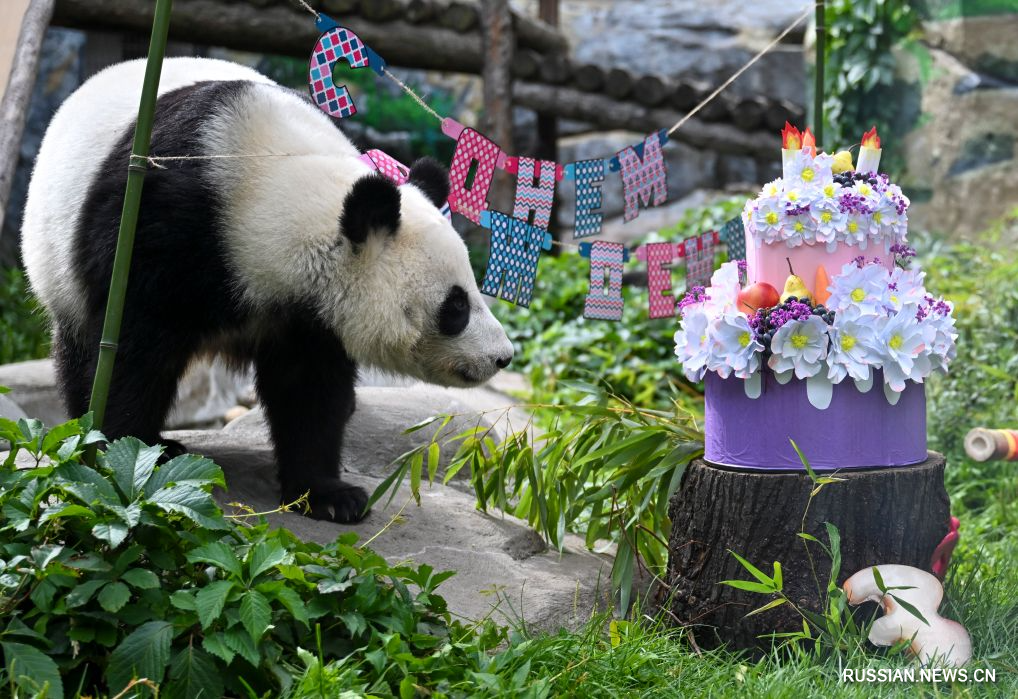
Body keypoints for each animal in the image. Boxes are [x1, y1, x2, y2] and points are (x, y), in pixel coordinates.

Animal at [21, 57, 514, 523]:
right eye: (456, 306)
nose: (503, 357)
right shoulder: (155, 225)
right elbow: (129, 350)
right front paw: (128, 456)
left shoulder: (311, 314)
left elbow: (309, 389)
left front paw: (328, 497)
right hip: (58, 261)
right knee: (81, 349)